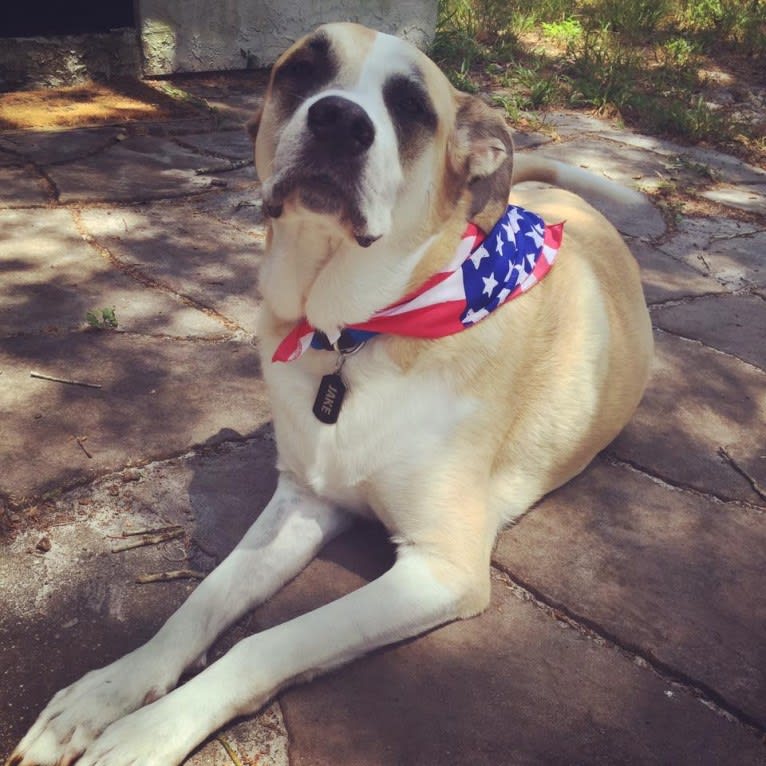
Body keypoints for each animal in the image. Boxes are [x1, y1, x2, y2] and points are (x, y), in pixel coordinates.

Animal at [9, 21, 656, 764]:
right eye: (302, 69)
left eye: (412, 106)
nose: (340, 121)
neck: (351, 334)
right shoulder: (303, 501)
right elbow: (200, 601)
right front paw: (107, 691)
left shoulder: (443, 567)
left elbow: (268, 642)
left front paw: (148, 731)